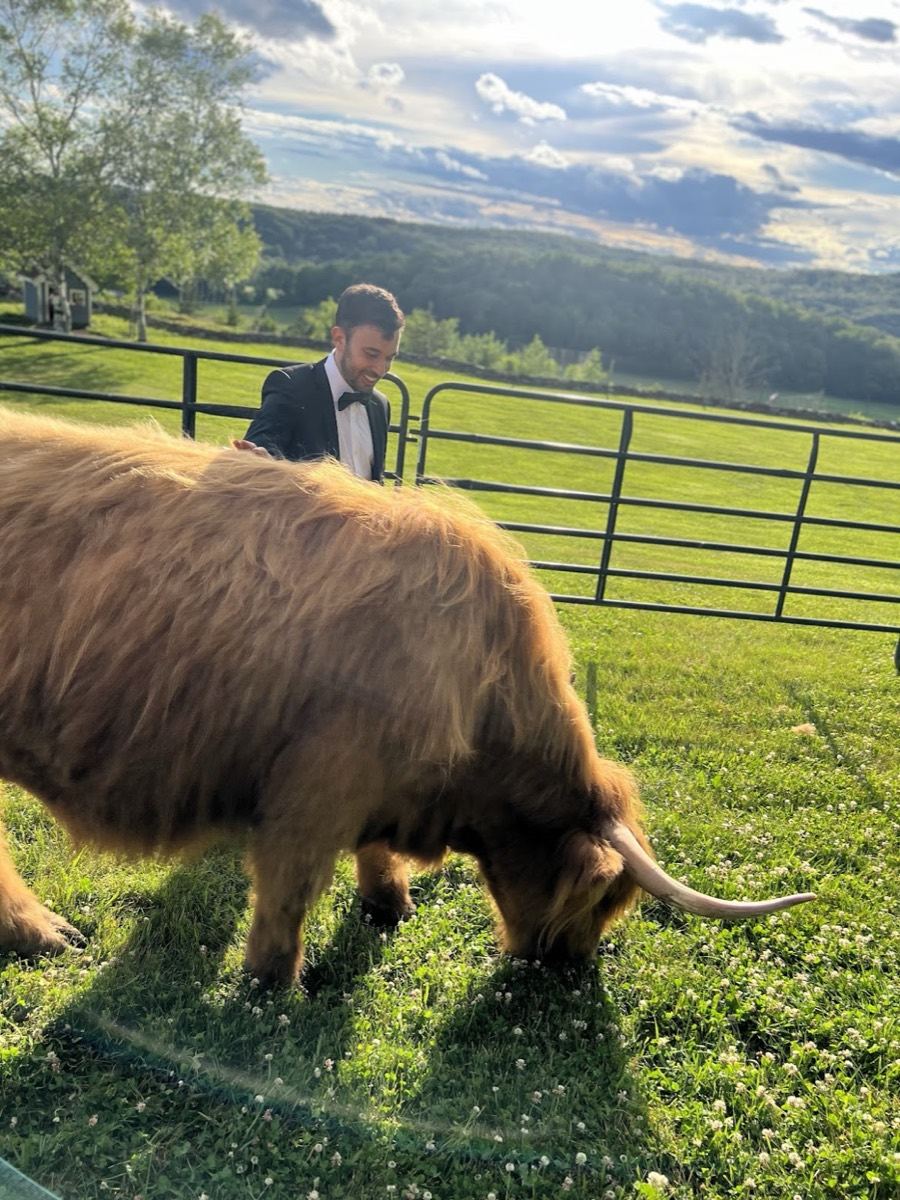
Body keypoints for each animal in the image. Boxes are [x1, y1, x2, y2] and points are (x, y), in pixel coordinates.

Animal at [0, 407, 814, 986]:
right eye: (602, 903)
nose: (569, 968)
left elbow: (374, 850)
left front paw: (388, 904)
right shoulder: (318, 782)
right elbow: (291, 886)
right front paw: (273, 980)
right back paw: (44, 932)